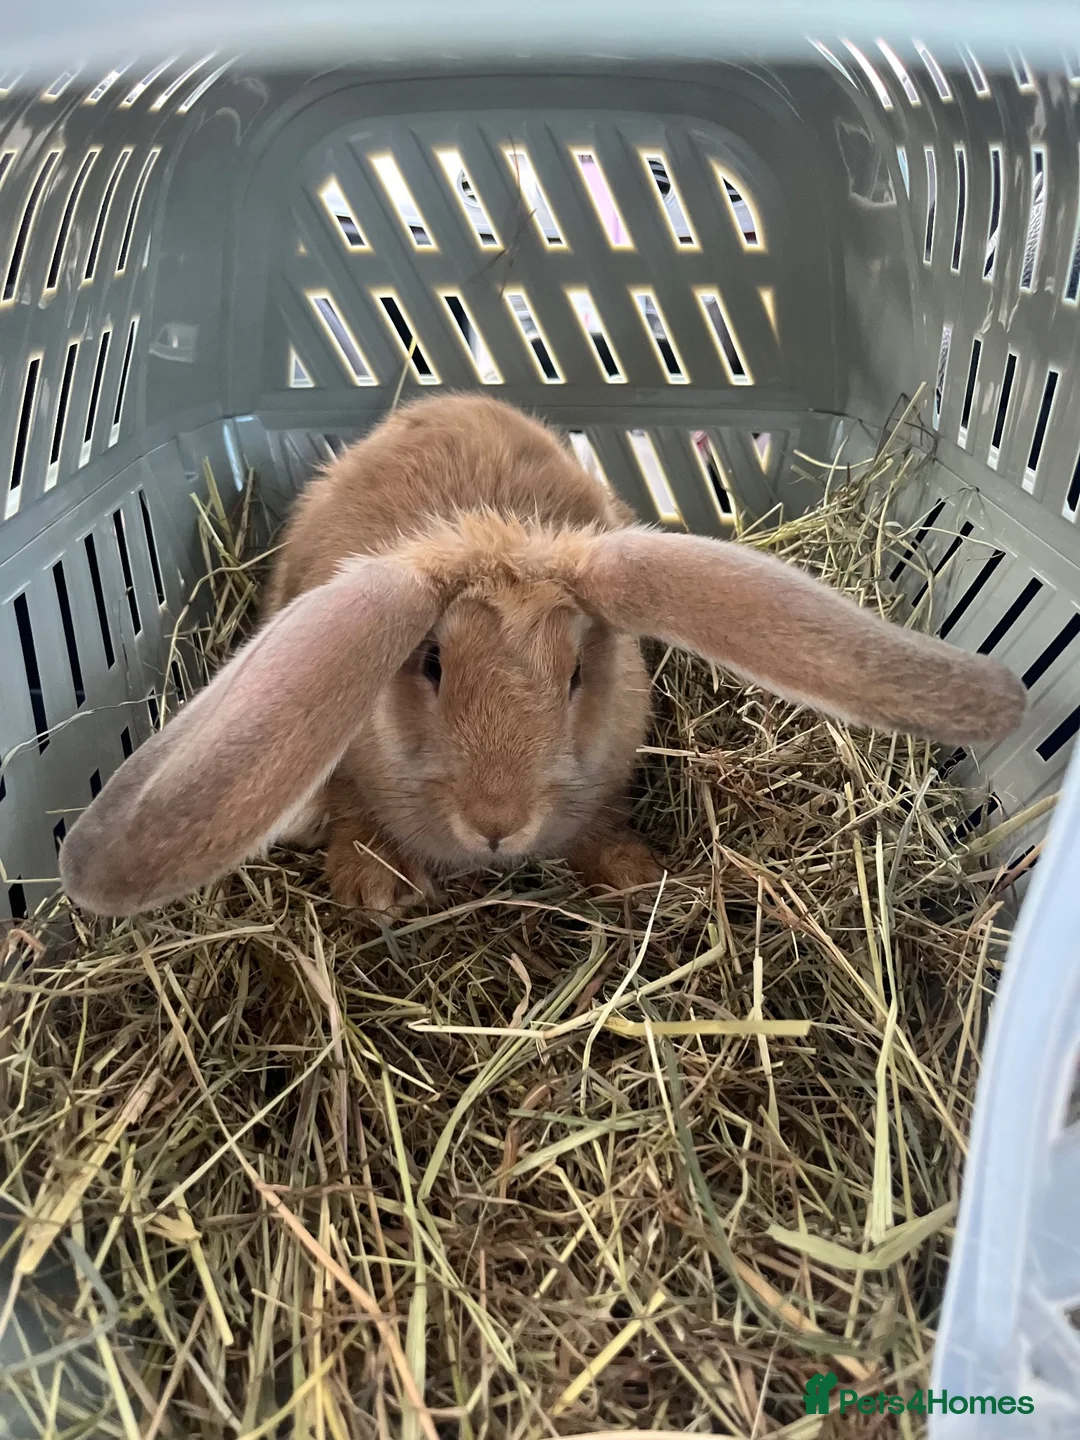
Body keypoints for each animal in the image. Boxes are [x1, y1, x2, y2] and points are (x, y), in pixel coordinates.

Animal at [59, 393, 1028, 919]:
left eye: (575, 676)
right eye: (430, 664)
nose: (498, 823)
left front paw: (636, 876)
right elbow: (354, 819)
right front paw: (376, 891)